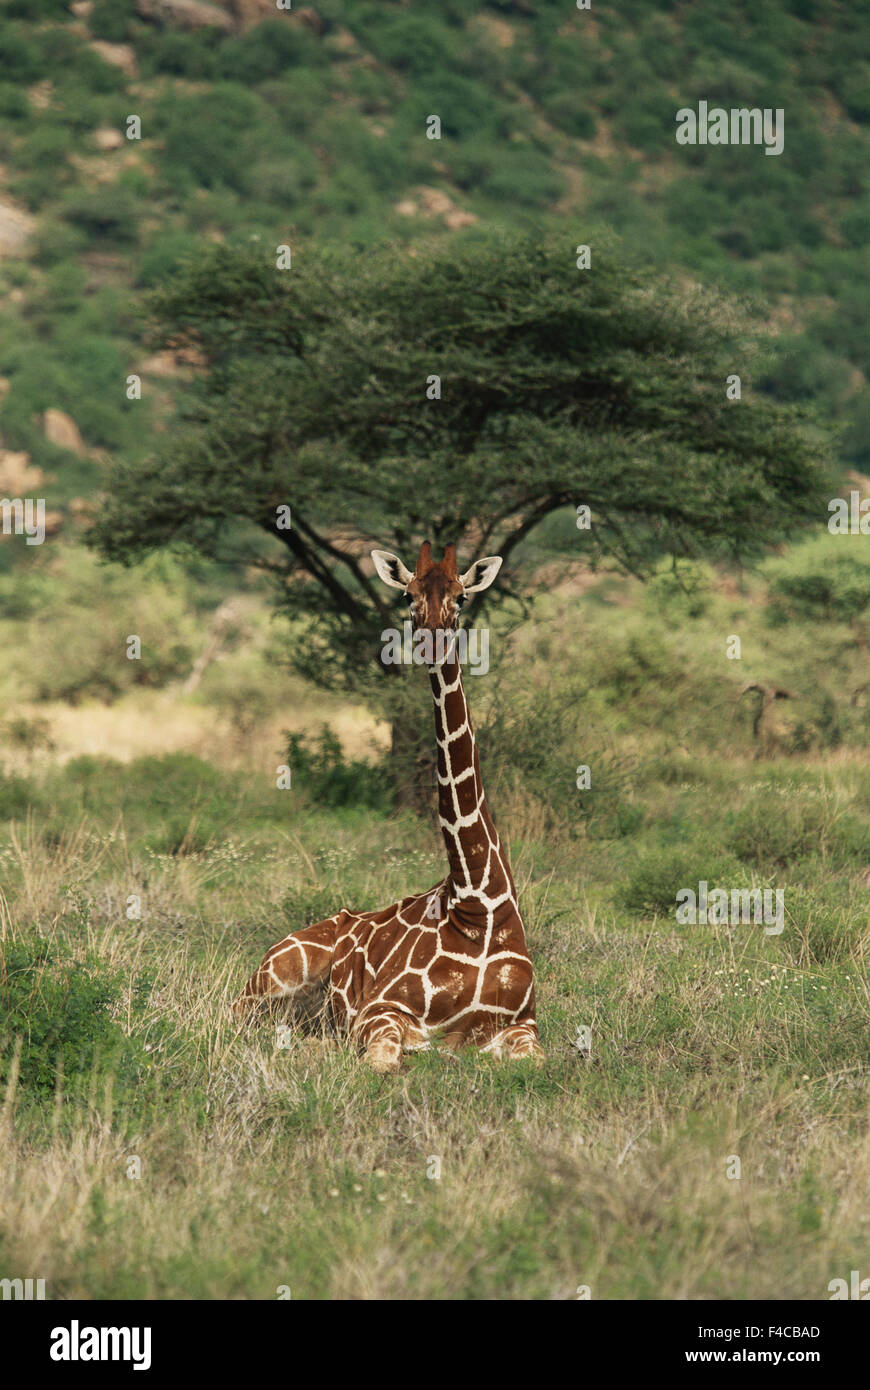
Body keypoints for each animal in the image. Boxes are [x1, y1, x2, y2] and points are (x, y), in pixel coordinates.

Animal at [230, 536, 542, 1067]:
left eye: (461, 597)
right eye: (407, 596)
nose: (431, 637)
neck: (476, 901)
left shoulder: (525, 1024)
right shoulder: (380, 1011)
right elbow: (383, 1063)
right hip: (275, 976)